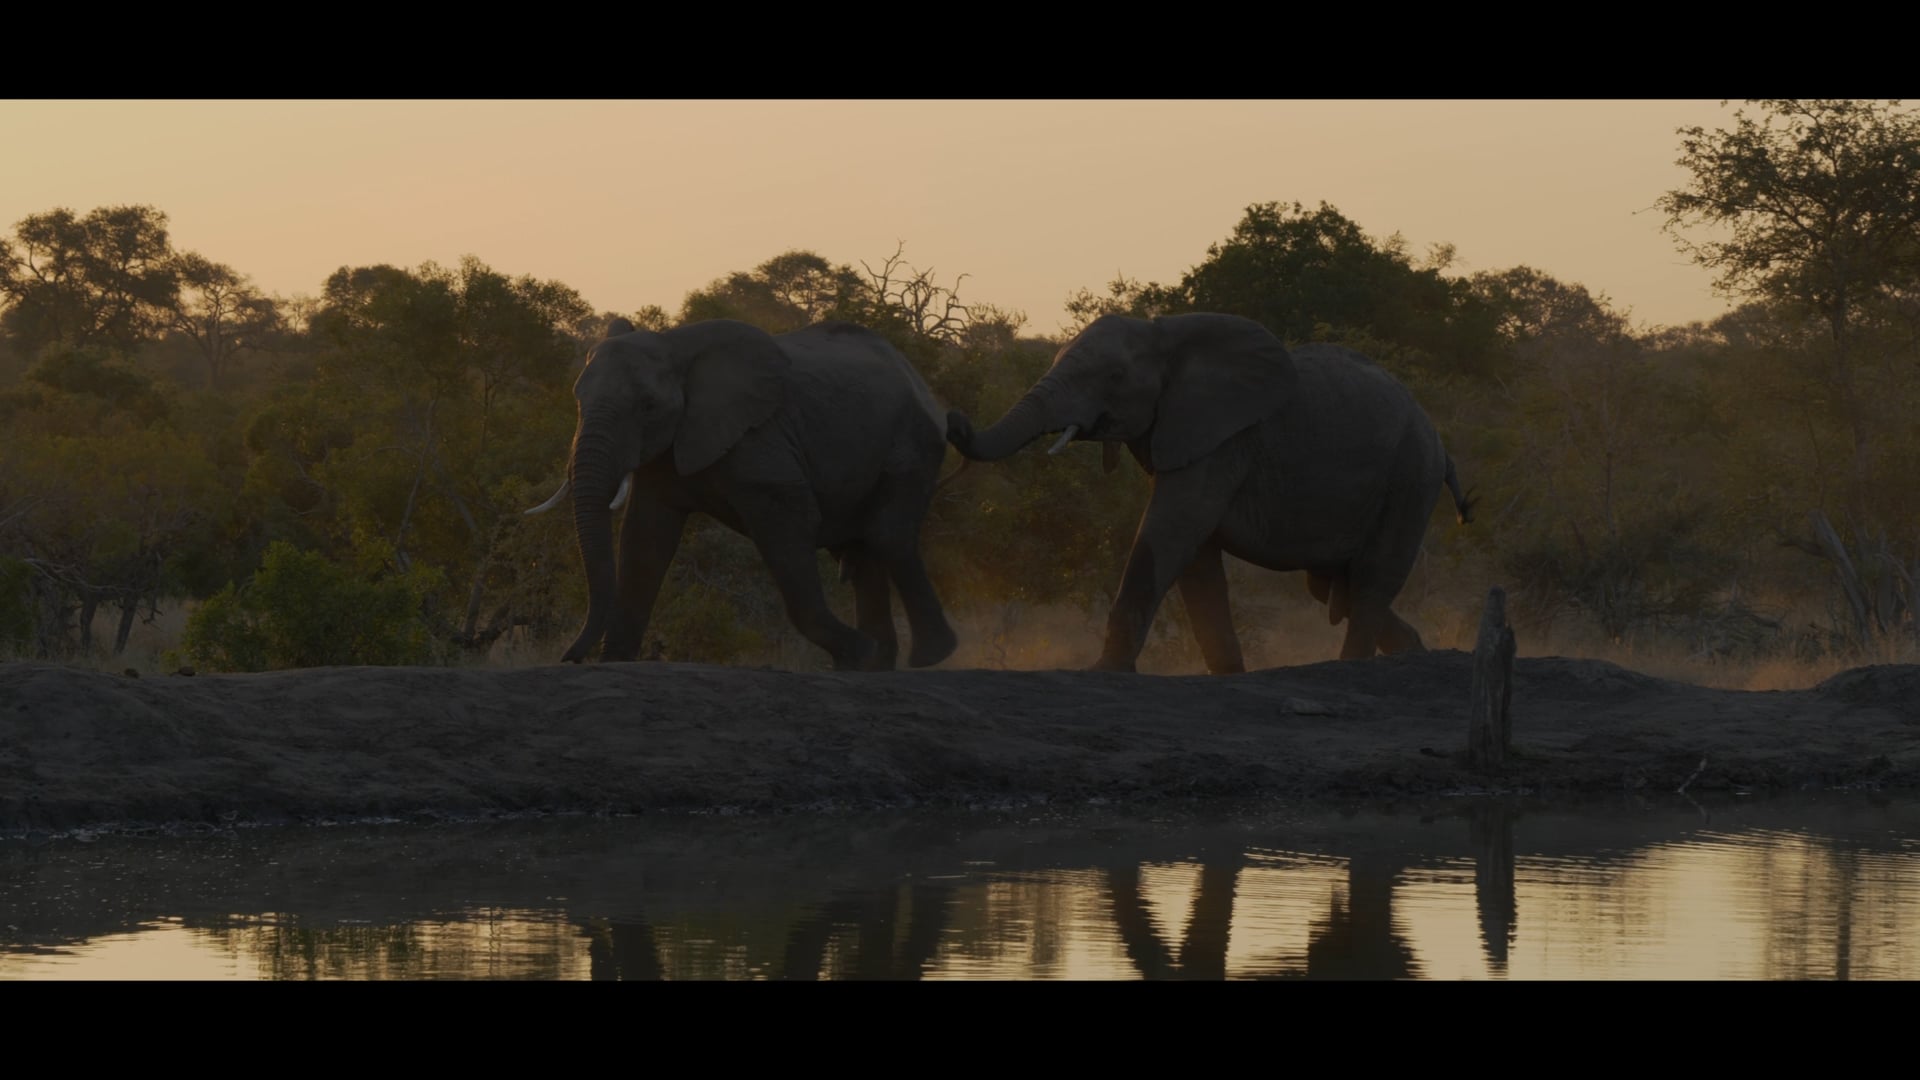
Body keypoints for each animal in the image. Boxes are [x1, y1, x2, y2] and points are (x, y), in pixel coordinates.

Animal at [525, 316, 960, 671]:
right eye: (578, 400)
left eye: (648, 406)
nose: (569, 657)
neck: (675, 347)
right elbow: (644, 538)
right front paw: (614, 661)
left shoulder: (762, 440)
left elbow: (788, 526)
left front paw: (857, 651)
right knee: (864, 548)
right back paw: (879, 665)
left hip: (911, 441)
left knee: (887, 535)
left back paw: (925, 656)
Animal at [944, 312, 1475, 673]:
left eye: (1114, 378)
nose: (953, 418)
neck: (1165, 333)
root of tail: (1439, 440)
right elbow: (1195, 563)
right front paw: (1228, 674)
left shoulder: (1220, 441)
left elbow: (1170, 534)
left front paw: (1106, 672)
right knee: (1332, 585)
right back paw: (1418, 652)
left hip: (1410, 476)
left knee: (1370, 581)